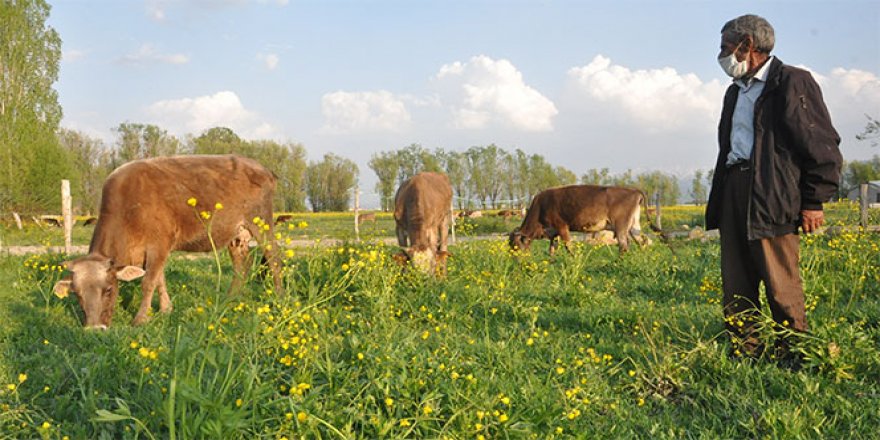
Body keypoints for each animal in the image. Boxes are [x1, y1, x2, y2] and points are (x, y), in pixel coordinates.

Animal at [51, 155, 284, 326]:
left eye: (108, 290)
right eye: (77, 294)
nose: (94, 329)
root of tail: (262, 168)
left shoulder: (159, 244)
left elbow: (148, 282)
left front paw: (140, 319)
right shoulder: (155, 250)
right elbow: (159, 279)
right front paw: (165, 309)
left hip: (261, 223)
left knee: (274, 259)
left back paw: (279, 297)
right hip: (237, 234)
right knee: (242, 264)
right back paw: (230, 299)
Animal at [506, 185, 656, 254]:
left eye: (515, 246)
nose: (516, 261)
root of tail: (634, 190)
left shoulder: (562, 227)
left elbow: (568, 247)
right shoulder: (553, 233)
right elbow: (552, 250)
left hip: (621, 227)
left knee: (624, 245)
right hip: (633, 226)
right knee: (642, 241)